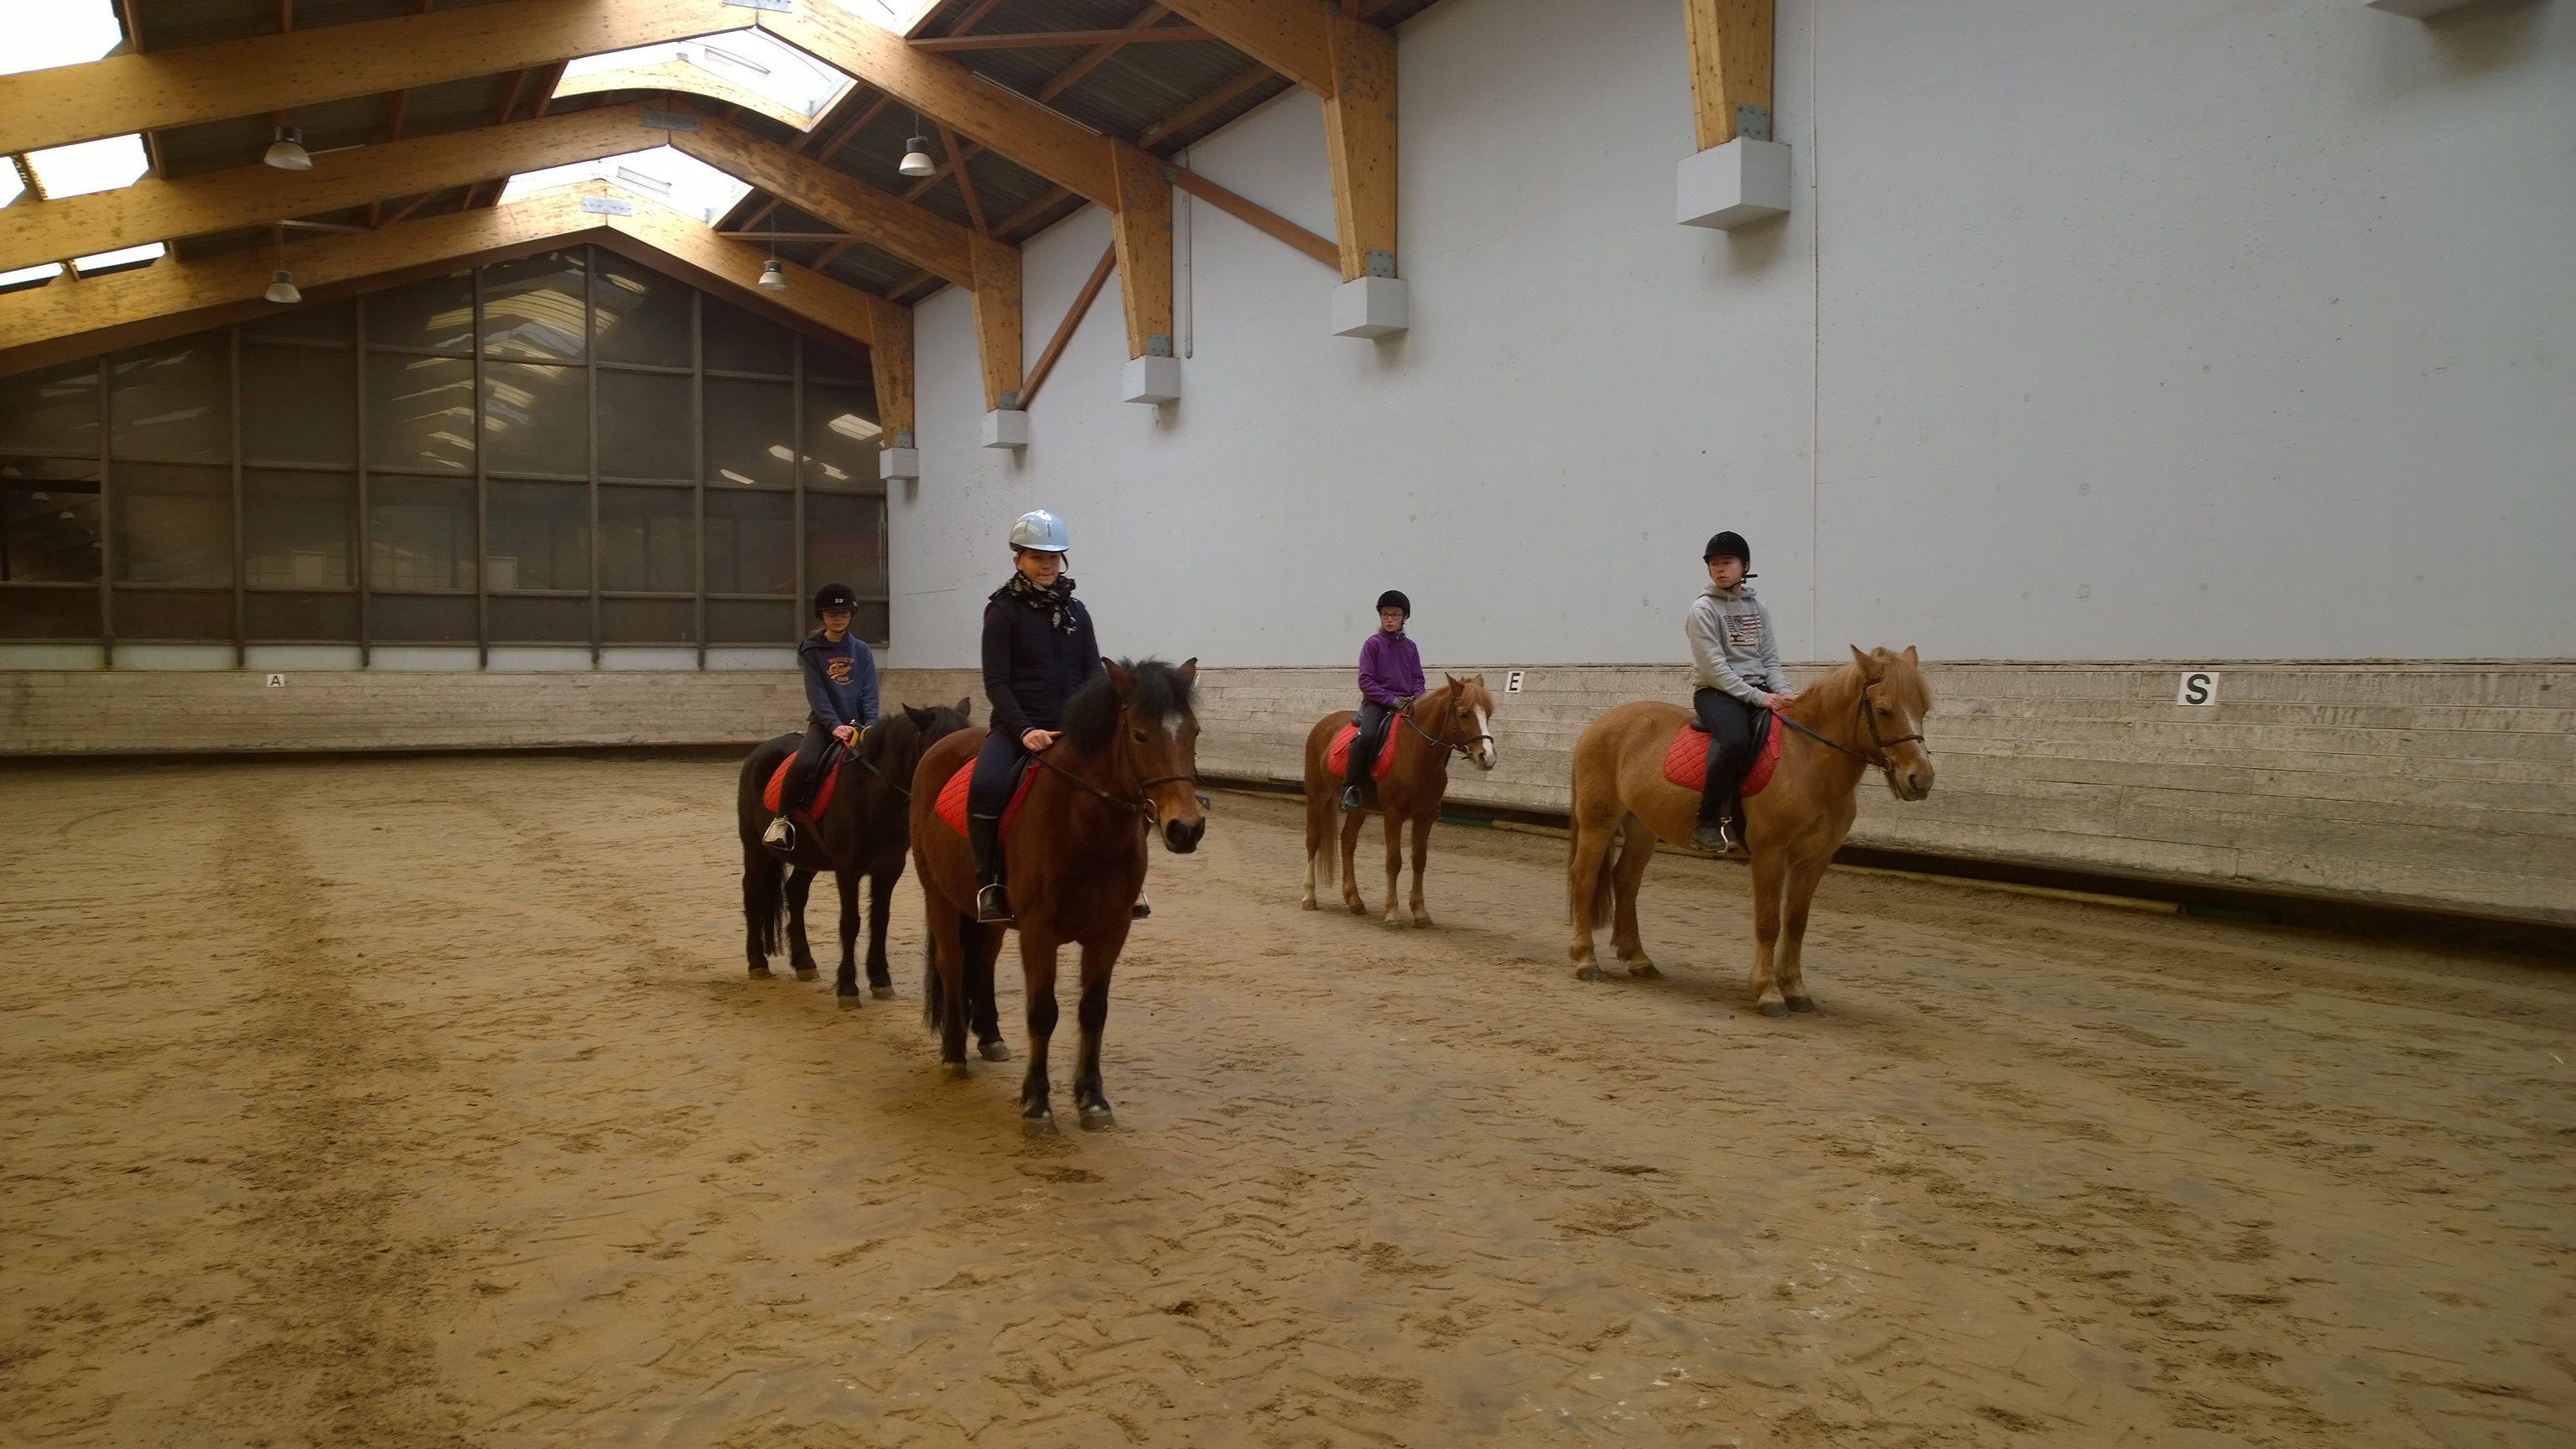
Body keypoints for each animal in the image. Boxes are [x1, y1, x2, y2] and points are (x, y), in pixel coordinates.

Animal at [735, 699, 972, 1005]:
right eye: (939, 749)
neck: (874, 796)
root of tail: (760, 751)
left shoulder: (889, 868)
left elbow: (880, 919)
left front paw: (880, 979)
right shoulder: (847, 868)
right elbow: (850, 922)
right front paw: (848, 987)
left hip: (809, 857)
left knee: (796, 893)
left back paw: (804, 963)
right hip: (755, 849)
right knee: (752, 894)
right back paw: (757, 962)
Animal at [909, 659, 1207, 1134]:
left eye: (1193, 732)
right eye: (1140, 734)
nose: (1187, 829)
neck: (1086, 827)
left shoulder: (1110, 933)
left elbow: (1093, 1010)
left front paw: (1093, 1101)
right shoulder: (1038, 933)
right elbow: (1042, 1013)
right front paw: (1037, 1104)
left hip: (987, 915)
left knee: (982, 961)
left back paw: (990, 1038)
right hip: (937, 896)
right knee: (951, 964)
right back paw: (954, 1054)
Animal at [1299, 674, 1499, 926]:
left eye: (1488, 714)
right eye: (1463, 714)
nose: (1487, 757)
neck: (1416, 752)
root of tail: (1324, 723)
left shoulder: (1425, 816)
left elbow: (1419, 860)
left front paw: (1420, 912)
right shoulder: (1393, 815)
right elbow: (1394, 862)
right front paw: (1392, 914)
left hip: (1359, 808)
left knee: (1347, 842)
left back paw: (1354, 900)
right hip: (1317, 795)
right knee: (1313, 840)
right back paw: (1309, 896)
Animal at [1565, 646, 1934, 1015]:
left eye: (1924, 709)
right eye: (1884, 710)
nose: (1921, 779)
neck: (1807, 762)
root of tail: (1599, 724)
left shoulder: (1814, 860)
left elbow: (1797, 923)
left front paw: (1796, 990)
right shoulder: (1770, 854)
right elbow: (1769, 922)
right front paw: (1768, 991)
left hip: (1642, 827)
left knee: (1626, 881)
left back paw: (1639, 960)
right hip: (1598, 821)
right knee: (1584, 879)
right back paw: (1587, 961)